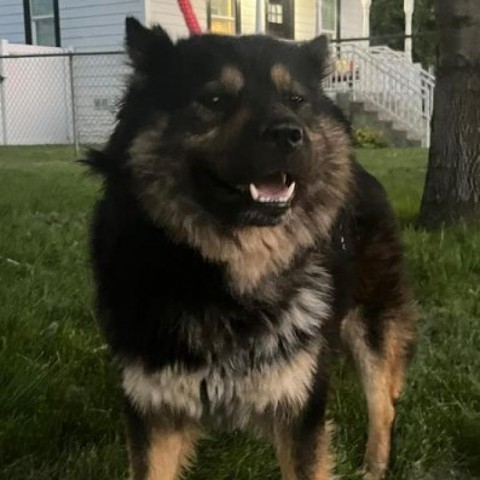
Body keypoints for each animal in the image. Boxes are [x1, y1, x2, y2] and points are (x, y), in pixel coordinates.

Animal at [88, 16, 418, 480]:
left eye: (296, 99)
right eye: (215, 99)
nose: (289, 135)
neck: (232, 275)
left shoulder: (301, 406)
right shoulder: (154, 412)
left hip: (370, 322)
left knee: (383, 405)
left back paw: (374, 467)